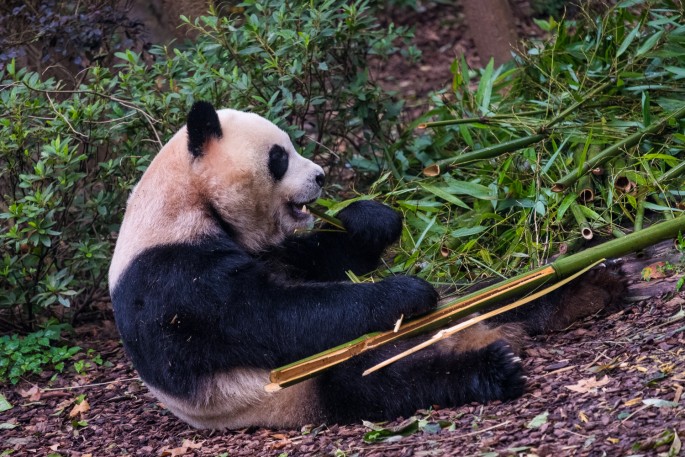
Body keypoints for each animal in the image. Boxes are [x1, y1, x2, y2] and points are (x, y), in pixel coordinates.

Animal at [108, 101, 624, 430]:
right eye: (279, 157)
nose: (320, 176)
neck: (188, 201)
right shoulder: (170, 277)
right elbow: (269, 314)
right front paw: (404, 292)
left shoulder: (269, 247)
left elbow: (320, 260)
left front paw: (374, 218)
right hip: (298, 389)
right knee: (381, 382)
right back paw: (494, 368)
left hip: (468, 302)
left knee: (496, 293)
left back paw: (588, 284)